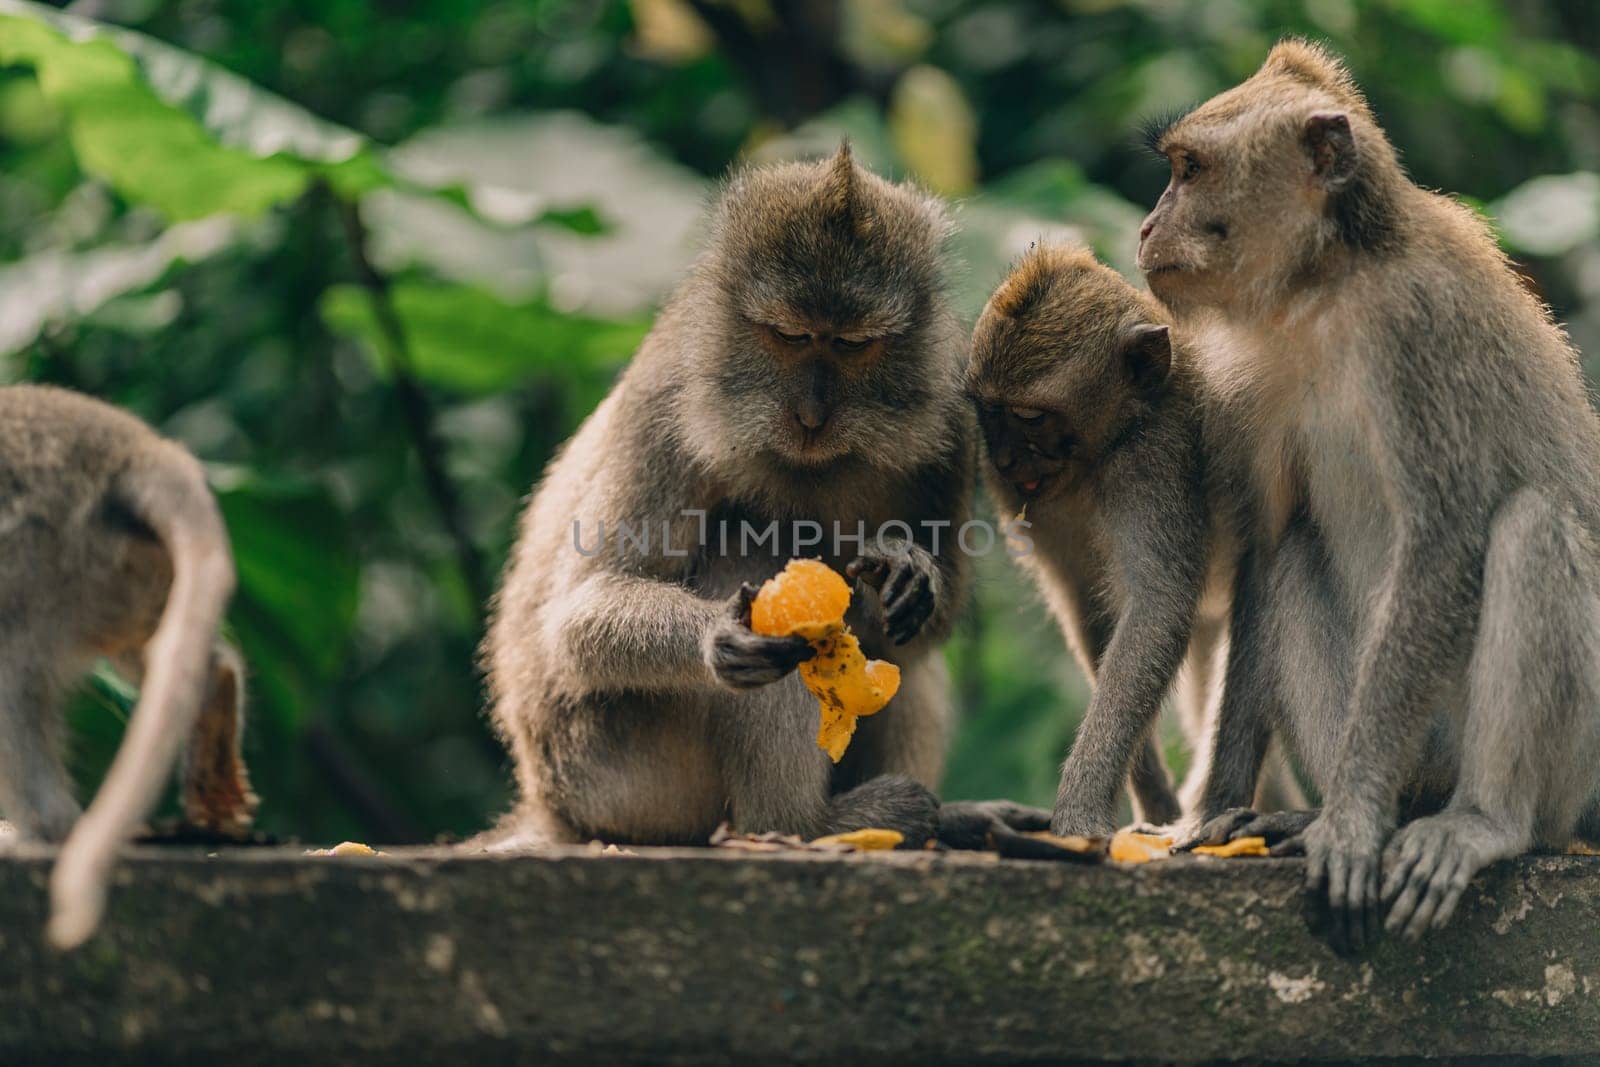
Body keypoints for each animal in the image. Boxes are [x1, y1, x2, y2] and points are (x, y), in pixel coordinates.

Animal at [480, 146, 1043, 857]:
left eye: (854, 344)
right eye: (790, 336)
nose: (812, 415)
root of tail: (551, 807)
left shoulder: (952, 414)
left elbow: (924, 625)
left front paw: (901, 564)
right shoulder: (664, 410)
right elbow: (579, 616)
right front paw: (716, 636)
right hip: (617, 770)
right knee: (746, 549)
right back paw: (801, 824)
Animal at [960, 246, 1299, 838]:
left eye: (1030, 417)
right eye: (989, 411)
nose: (1003, 459)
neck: (1100, 452)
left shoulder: (1152, 460)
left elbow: (1155, 611)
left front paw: (1079, 807)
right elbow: (1090, 611)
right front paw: (1151, 800)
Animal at [1139, 39, 1600, 953]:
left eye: (1190, 170)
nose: (1144, 225)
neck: (1328, 285)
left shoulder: (1418, 333)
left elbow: (1444, 547)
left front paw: (1351, 821)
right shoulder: (1253, 381)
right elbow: (1266, 547)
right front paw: (1220, 808)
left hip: (1573, 767)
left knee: (1534, 526)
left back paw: (1482, 821)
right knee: (1295, 554)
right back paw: (1315, 819)